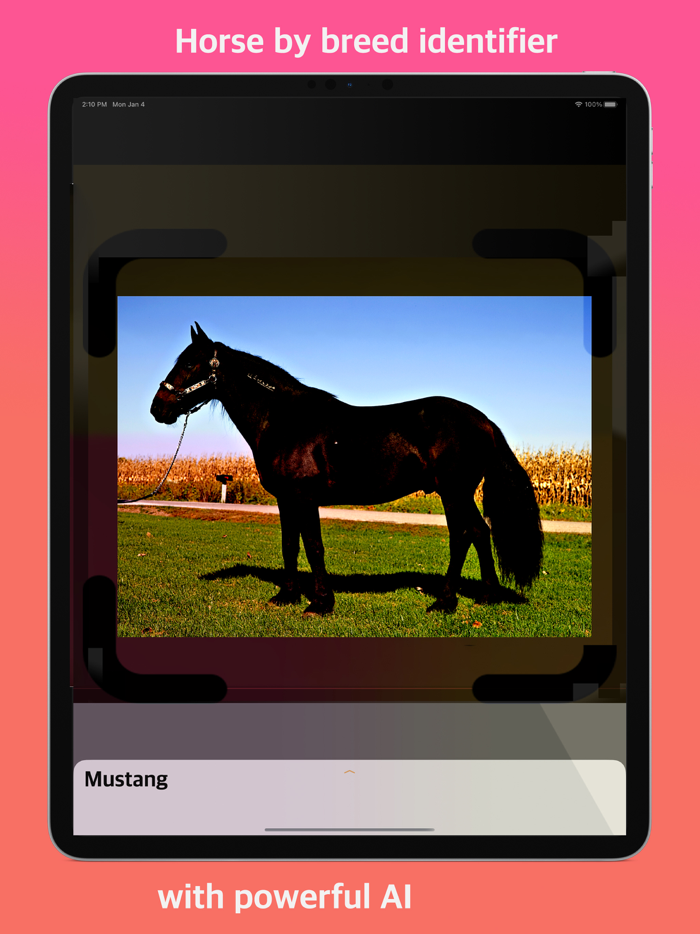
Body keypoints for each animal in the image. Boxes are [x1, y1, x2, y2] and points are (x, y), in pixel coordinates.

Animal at [150, 322, 543, 616]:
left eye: (190, 364)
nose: (159, 408)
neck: (285, 420)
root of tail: (483, 421)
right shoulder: (285, 500)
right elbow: (290, 545)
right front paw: (287, 596)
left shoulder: (304, 496)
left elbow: (313, 546)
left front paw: (321, 603)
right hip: (459, 493)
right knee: (478, 531)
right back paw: (486, 595)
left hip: (453, 491)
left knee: (463, 535)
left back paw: (445, 601)